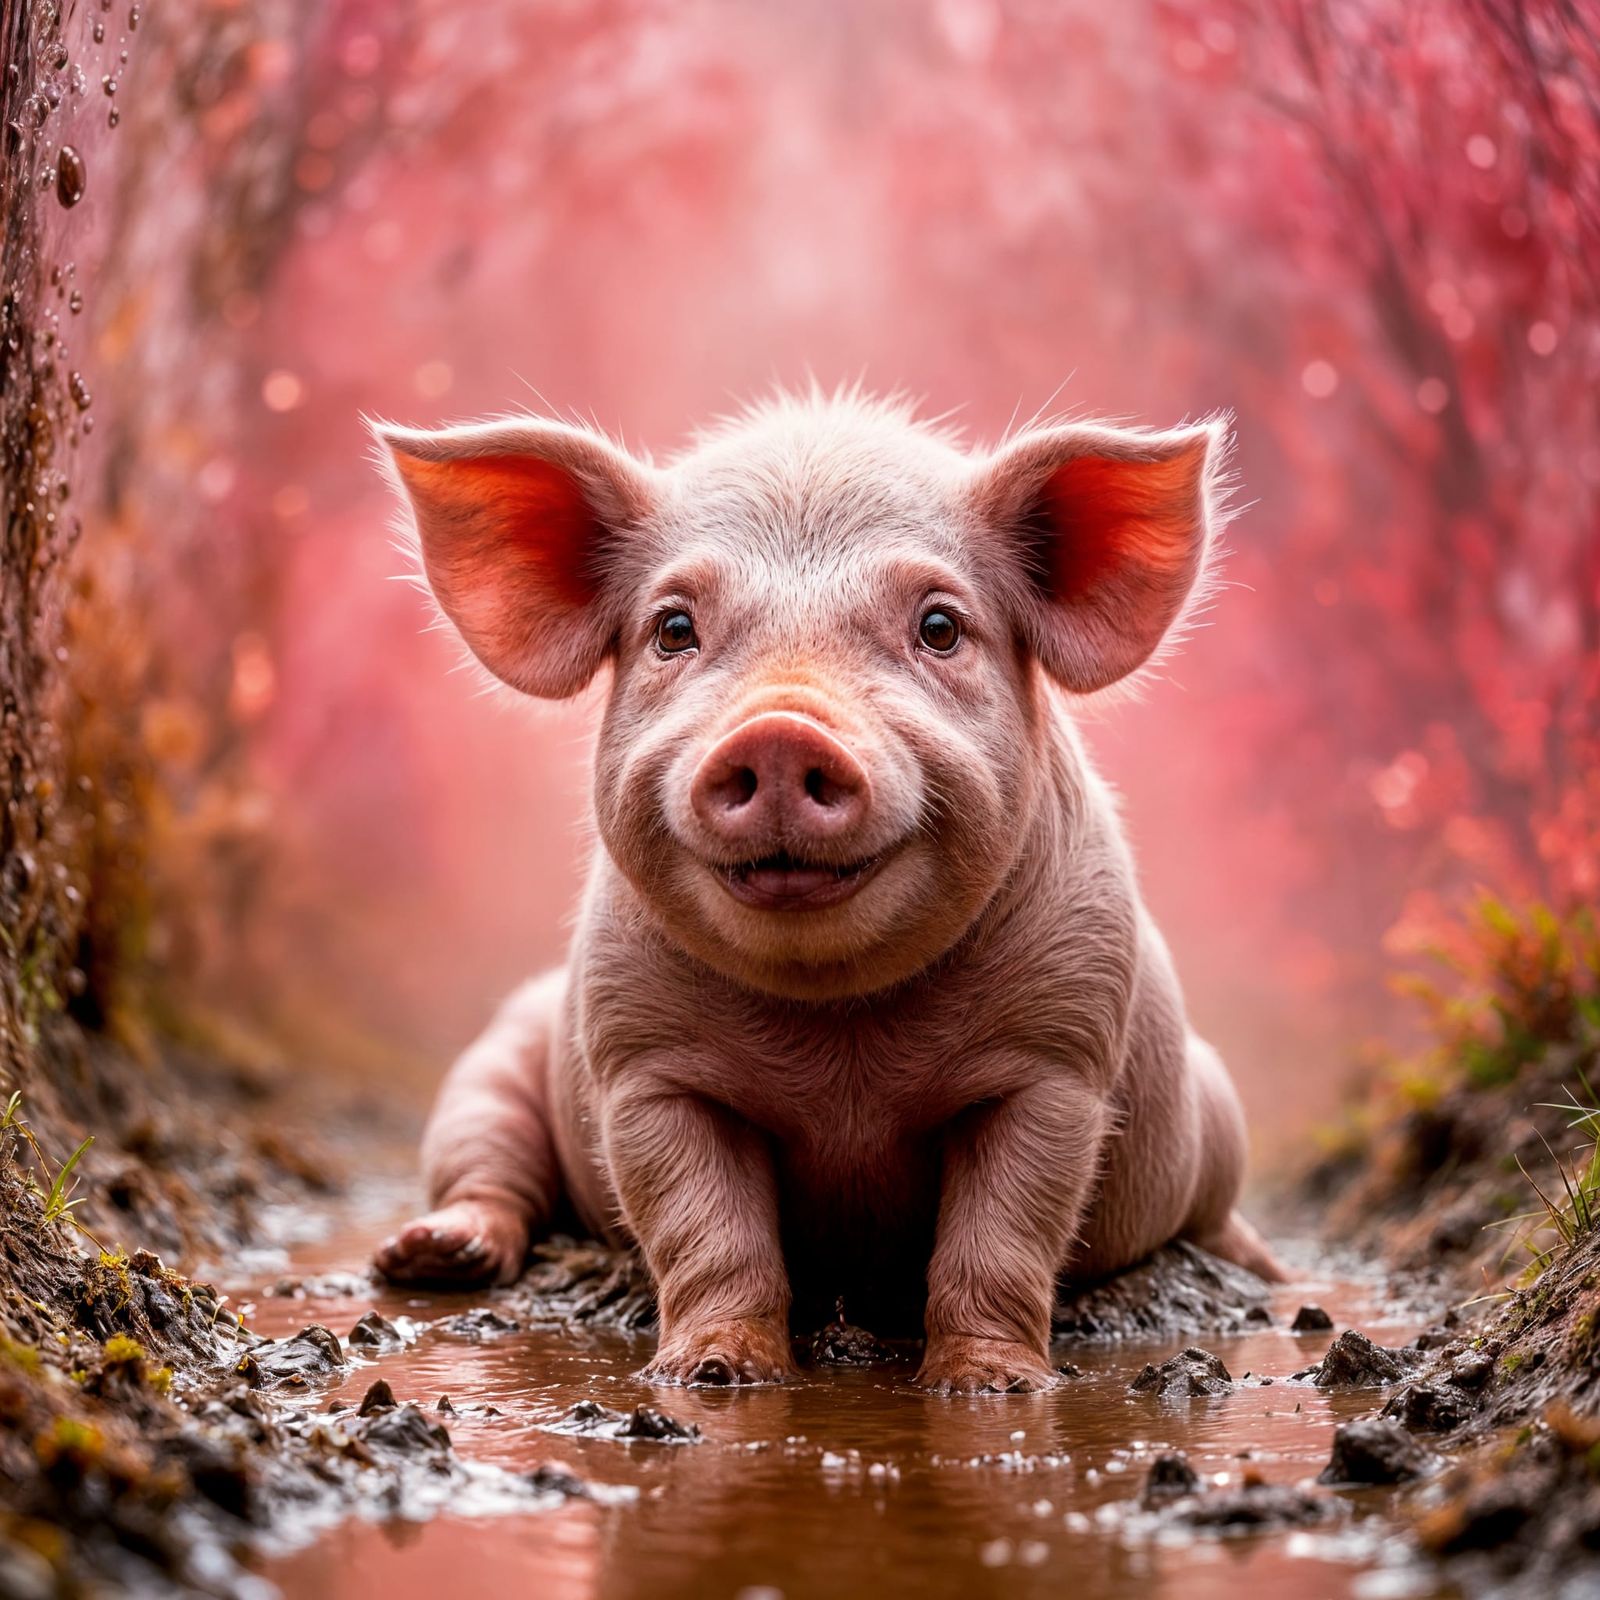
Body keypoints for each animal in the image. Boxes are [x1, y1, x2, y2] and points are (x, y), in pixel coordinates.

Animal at [370, 389, 1282, 1394]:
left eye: (940, 628)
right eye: (673, 630)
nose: (779, 730)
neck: (839, 1041)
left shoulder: (1060, 1054)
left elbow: (1002, 1238)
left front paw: (990, 1387)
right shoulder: (643, 1063)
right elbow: (707, 1233)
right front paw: (713, 1376)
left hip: (1218, 1117)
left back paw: (1267, 1271)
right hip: (494, 1061)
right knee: (485, 1174)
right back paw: (429, 1258)